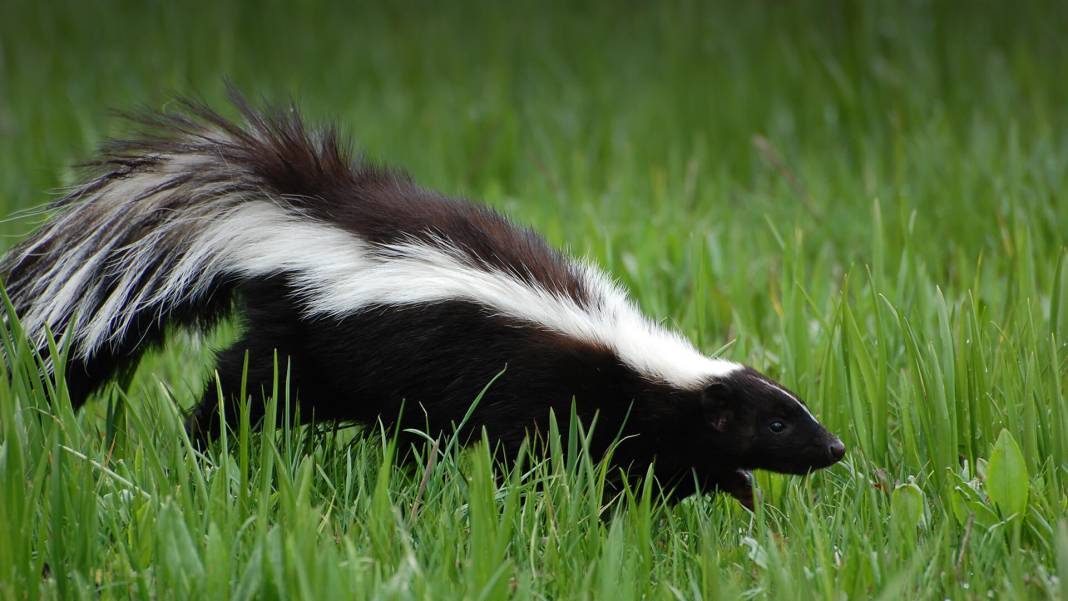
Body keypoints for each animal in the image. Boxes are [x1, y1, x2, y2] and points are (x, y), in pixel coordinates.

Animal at [2, 93, 841, 508]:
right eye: (778, 421)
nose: (835, 448)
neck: (640, 362)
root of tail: (298, 213)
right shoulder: (550, 393)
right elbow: (553, 459)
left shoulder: (645, 421)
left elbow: (663, 464)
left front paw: (736, 495)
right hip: (316, 341)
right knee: (246, 383)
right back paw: (206, 443)